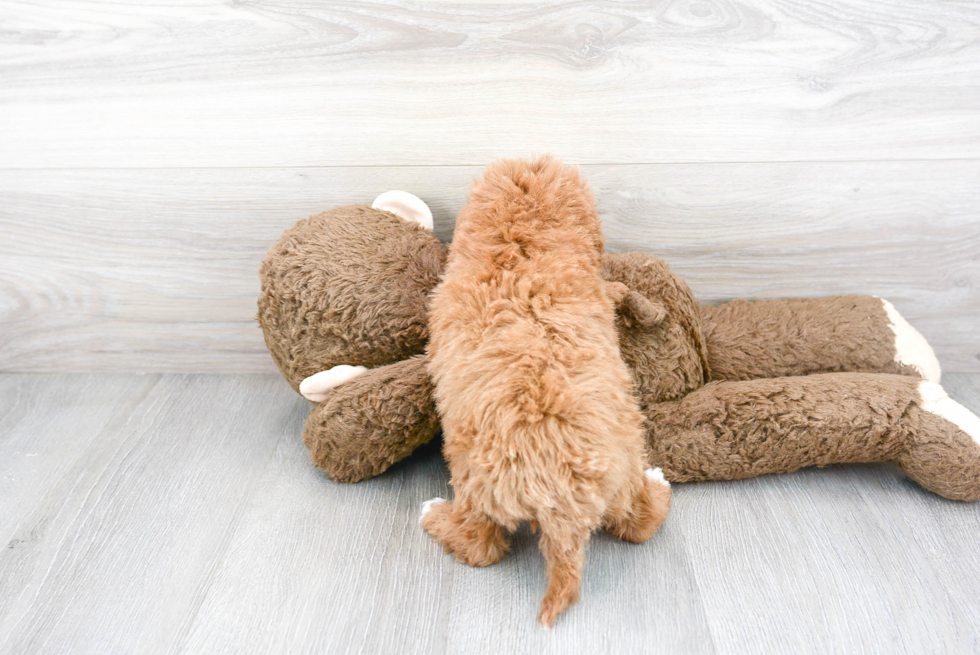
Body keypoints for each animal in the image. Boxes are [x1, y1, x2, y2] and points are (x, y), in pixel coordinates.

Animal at [422, 156, 672, 628]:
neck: (522, 242)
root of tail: (563, 505)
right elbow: (611, 290)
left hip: (474, 479)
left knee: (481, 545)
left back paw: (434, 516)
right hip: (625, 461)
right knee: (640, 520)